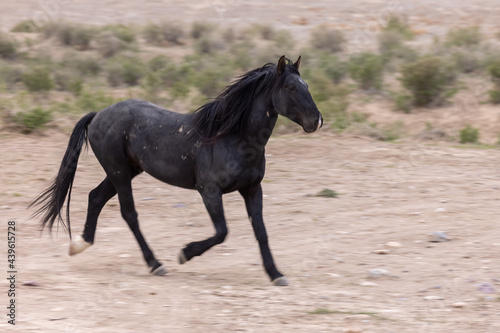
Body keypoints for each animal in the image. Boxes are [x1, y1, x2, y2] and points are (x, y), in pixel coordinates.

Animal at [34, 55, 324, 286]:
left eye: (307, 86)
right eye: (289, 87)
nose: (316, 121)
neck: (232, 138)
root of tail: (98, 115)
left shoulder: (252, 190)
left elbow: (261, 232)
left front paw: (276, 274)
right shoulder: (209, 191)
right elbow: (222, 232)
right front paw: (185, 253)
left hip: (125, 171)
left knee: (95, 197)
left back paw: (79, 244)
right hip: (119, 172)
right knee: (129, 213)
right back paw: (156, 264)